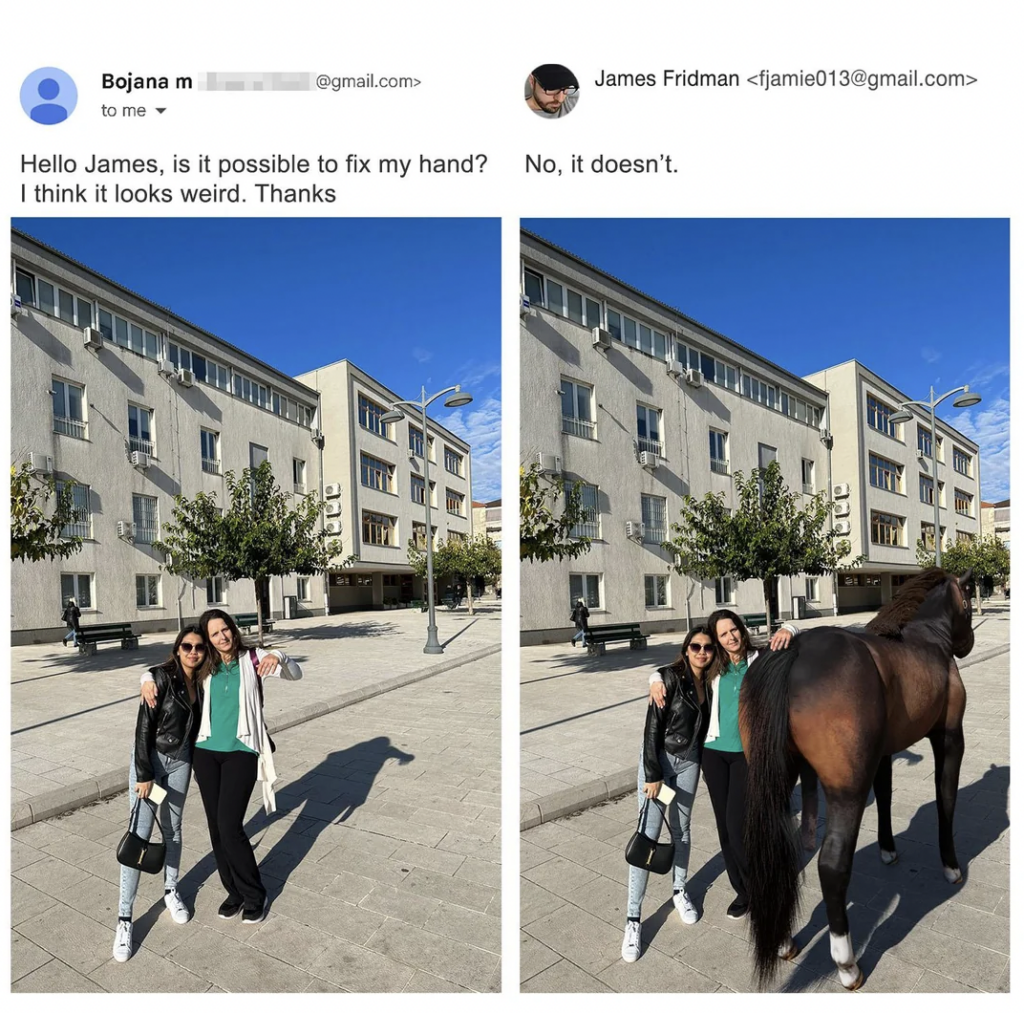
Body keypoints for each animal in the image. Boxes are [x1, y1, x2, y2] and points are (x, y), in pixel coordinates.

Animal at [741, 569, 970, 987]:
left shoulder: (882, 752)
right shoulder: (949, 736)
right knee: (832, 865)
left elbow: (886, 794)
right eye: (968, 597)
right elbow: (946, 800)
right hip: (846, 788)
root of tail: (794, 651)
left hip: (776, 781)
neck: (927, 637)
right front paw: (951, 866)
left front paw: (888, 849)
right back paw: (847, 964)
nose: (967, 644)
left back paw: (783, 940)